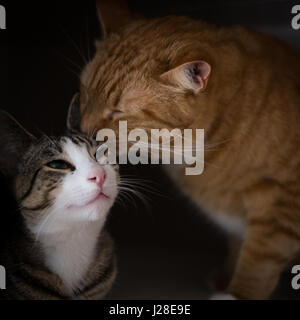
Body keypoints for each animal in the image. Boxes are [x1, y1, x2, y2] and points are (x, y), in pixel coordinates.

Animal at [78, 0, 300, 300]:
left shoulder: (281, 202)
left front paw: (238, 293)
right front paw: (226, 277)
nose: (83, 132)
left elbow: (260, 257)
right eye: (86, 94)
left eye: (117, 112)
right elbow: (238, 245)